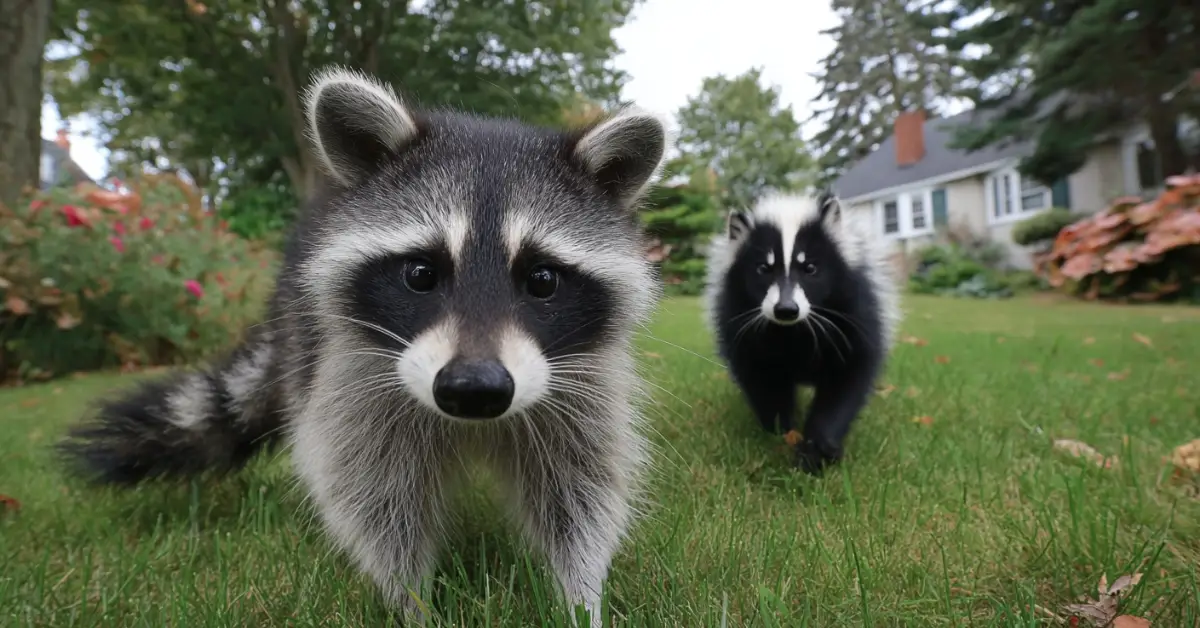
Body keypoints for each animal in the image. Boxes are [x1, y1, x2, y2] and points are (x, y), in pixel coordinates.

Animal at [58, 66, 673, 625]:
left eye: (542, 280)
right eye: (421, 274)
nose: (474, 389)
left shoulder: (579, 384)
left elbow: (580, 494)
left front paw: (581, 599)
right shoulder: (356, 376)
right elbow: (373, 497)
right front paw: (413, 605)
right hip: (303, 327)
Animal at [702, 192, 901, 475]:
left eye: (810, 268)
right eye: (763, 268)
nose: (786, 309)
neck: (794, 333)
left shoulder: (853, 317)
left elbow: (846, 380)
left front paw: (818, 448)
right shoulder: (744, 327)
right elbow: (763, 379)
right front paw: (782, 429)